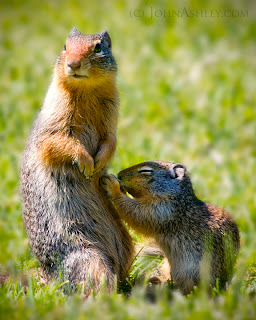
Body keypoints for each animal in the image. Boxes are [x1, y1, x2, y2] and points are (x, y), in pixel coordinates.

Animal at [20, 28, 134, 296]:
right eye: (65, 46)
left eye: (98, 47)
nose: (72, 64)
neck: (86, 91)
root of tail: (47, 277)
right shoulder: (55, 120)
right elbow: (59, 142)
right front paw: (86, 164)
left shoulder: (111, 118)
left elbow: (111, 140)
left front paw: (99, 161)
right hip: (88, 258)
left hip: (126, 245)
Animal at [100, 161, 240, 294]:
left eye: (146, 171)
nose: (119, 174)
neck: (178, 197)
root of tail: (224, 283)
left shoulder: (162, 211)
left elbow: (136, 213)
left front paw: (114, 188)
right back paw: (156, 280)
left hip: (191, 273)